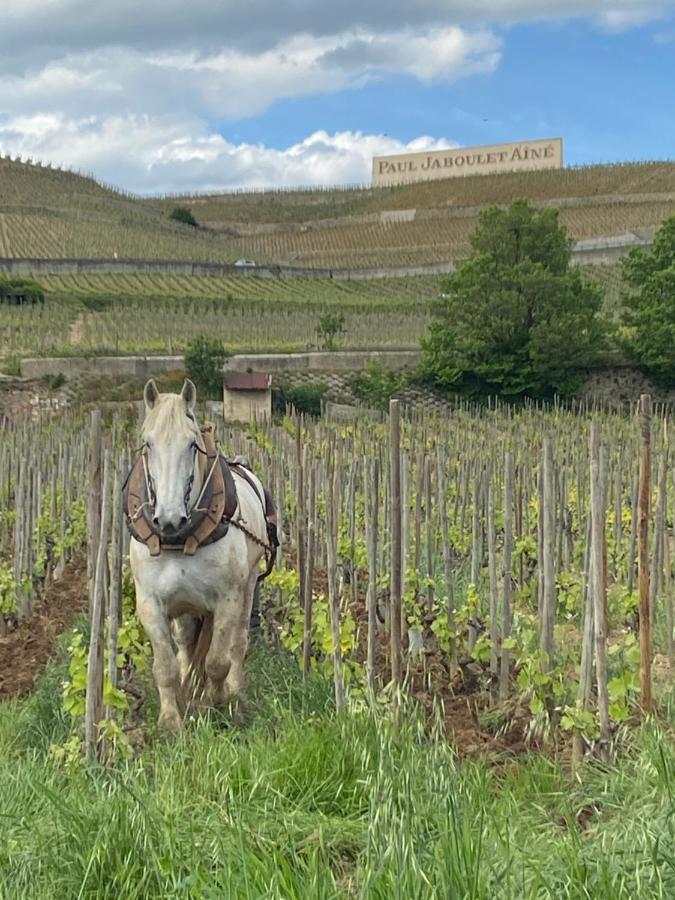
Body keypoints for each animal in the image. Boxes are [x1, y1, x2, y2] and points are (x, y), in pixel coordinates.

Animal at [129, 380, 266, 732]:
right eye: (147, 444)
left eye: (192, 445)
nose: (168, 519)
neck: (178, 540)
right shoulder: (150, 602)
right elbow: (166, 665)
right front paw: (171, 719)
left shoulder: (227, 598)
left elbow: (216, 660)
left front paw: (213, 702)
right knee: (186, 644)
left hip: (248, 585)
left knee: (237, 644)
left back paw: (234, 692)